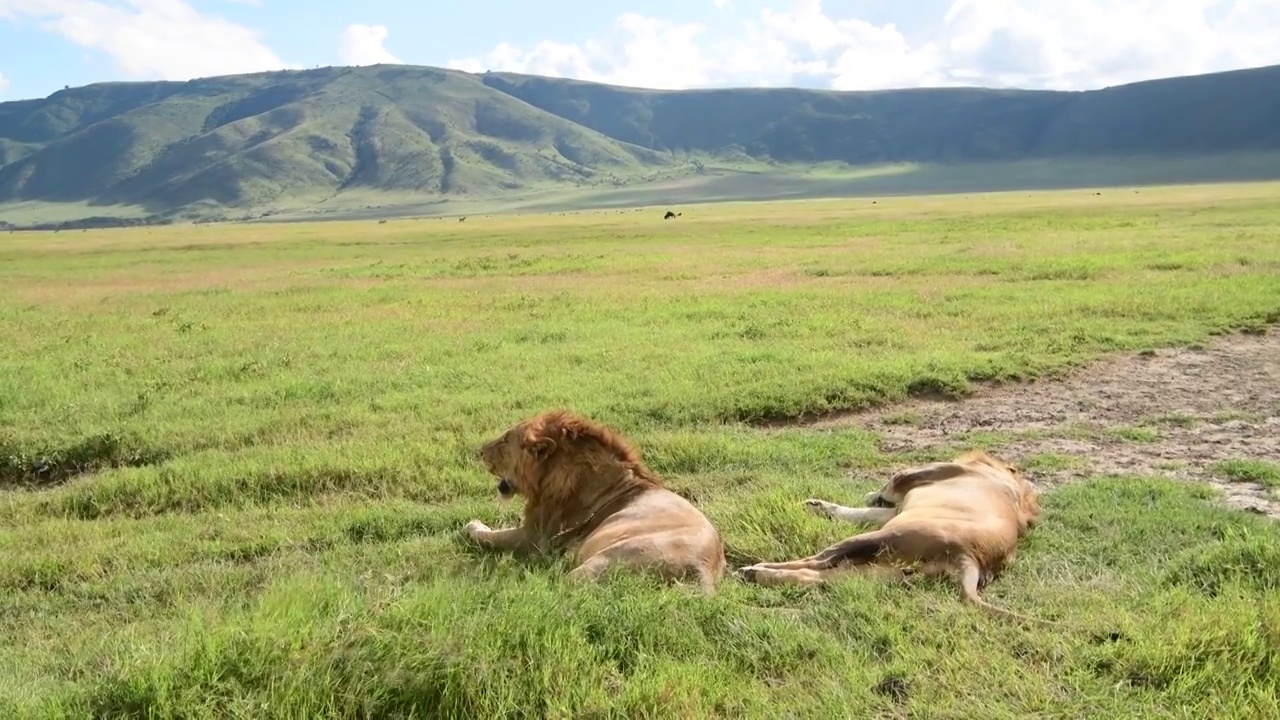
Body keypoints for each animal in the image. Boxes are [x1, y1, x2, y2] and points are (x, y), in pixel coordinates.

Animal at [463, 407, 727, 591]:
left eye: (505, 440)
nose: (480, 451)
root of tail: (702, 574)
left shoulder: (536, 536)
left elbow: (492, 536)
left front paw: (472, 526)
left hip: (605, 559)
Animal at [742, 448, 1049, 622]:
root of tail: (972, 559)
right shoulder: (894, 512)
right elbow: (862, 511)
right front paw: (818, 506)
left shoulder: (912, 477)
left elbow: (884, 488)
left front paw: (866, 495)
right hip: (885, 570)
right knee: (818, 577)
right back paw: (758, 575)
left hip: (881, 538)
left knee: (815, 562)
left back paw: (753, 569)